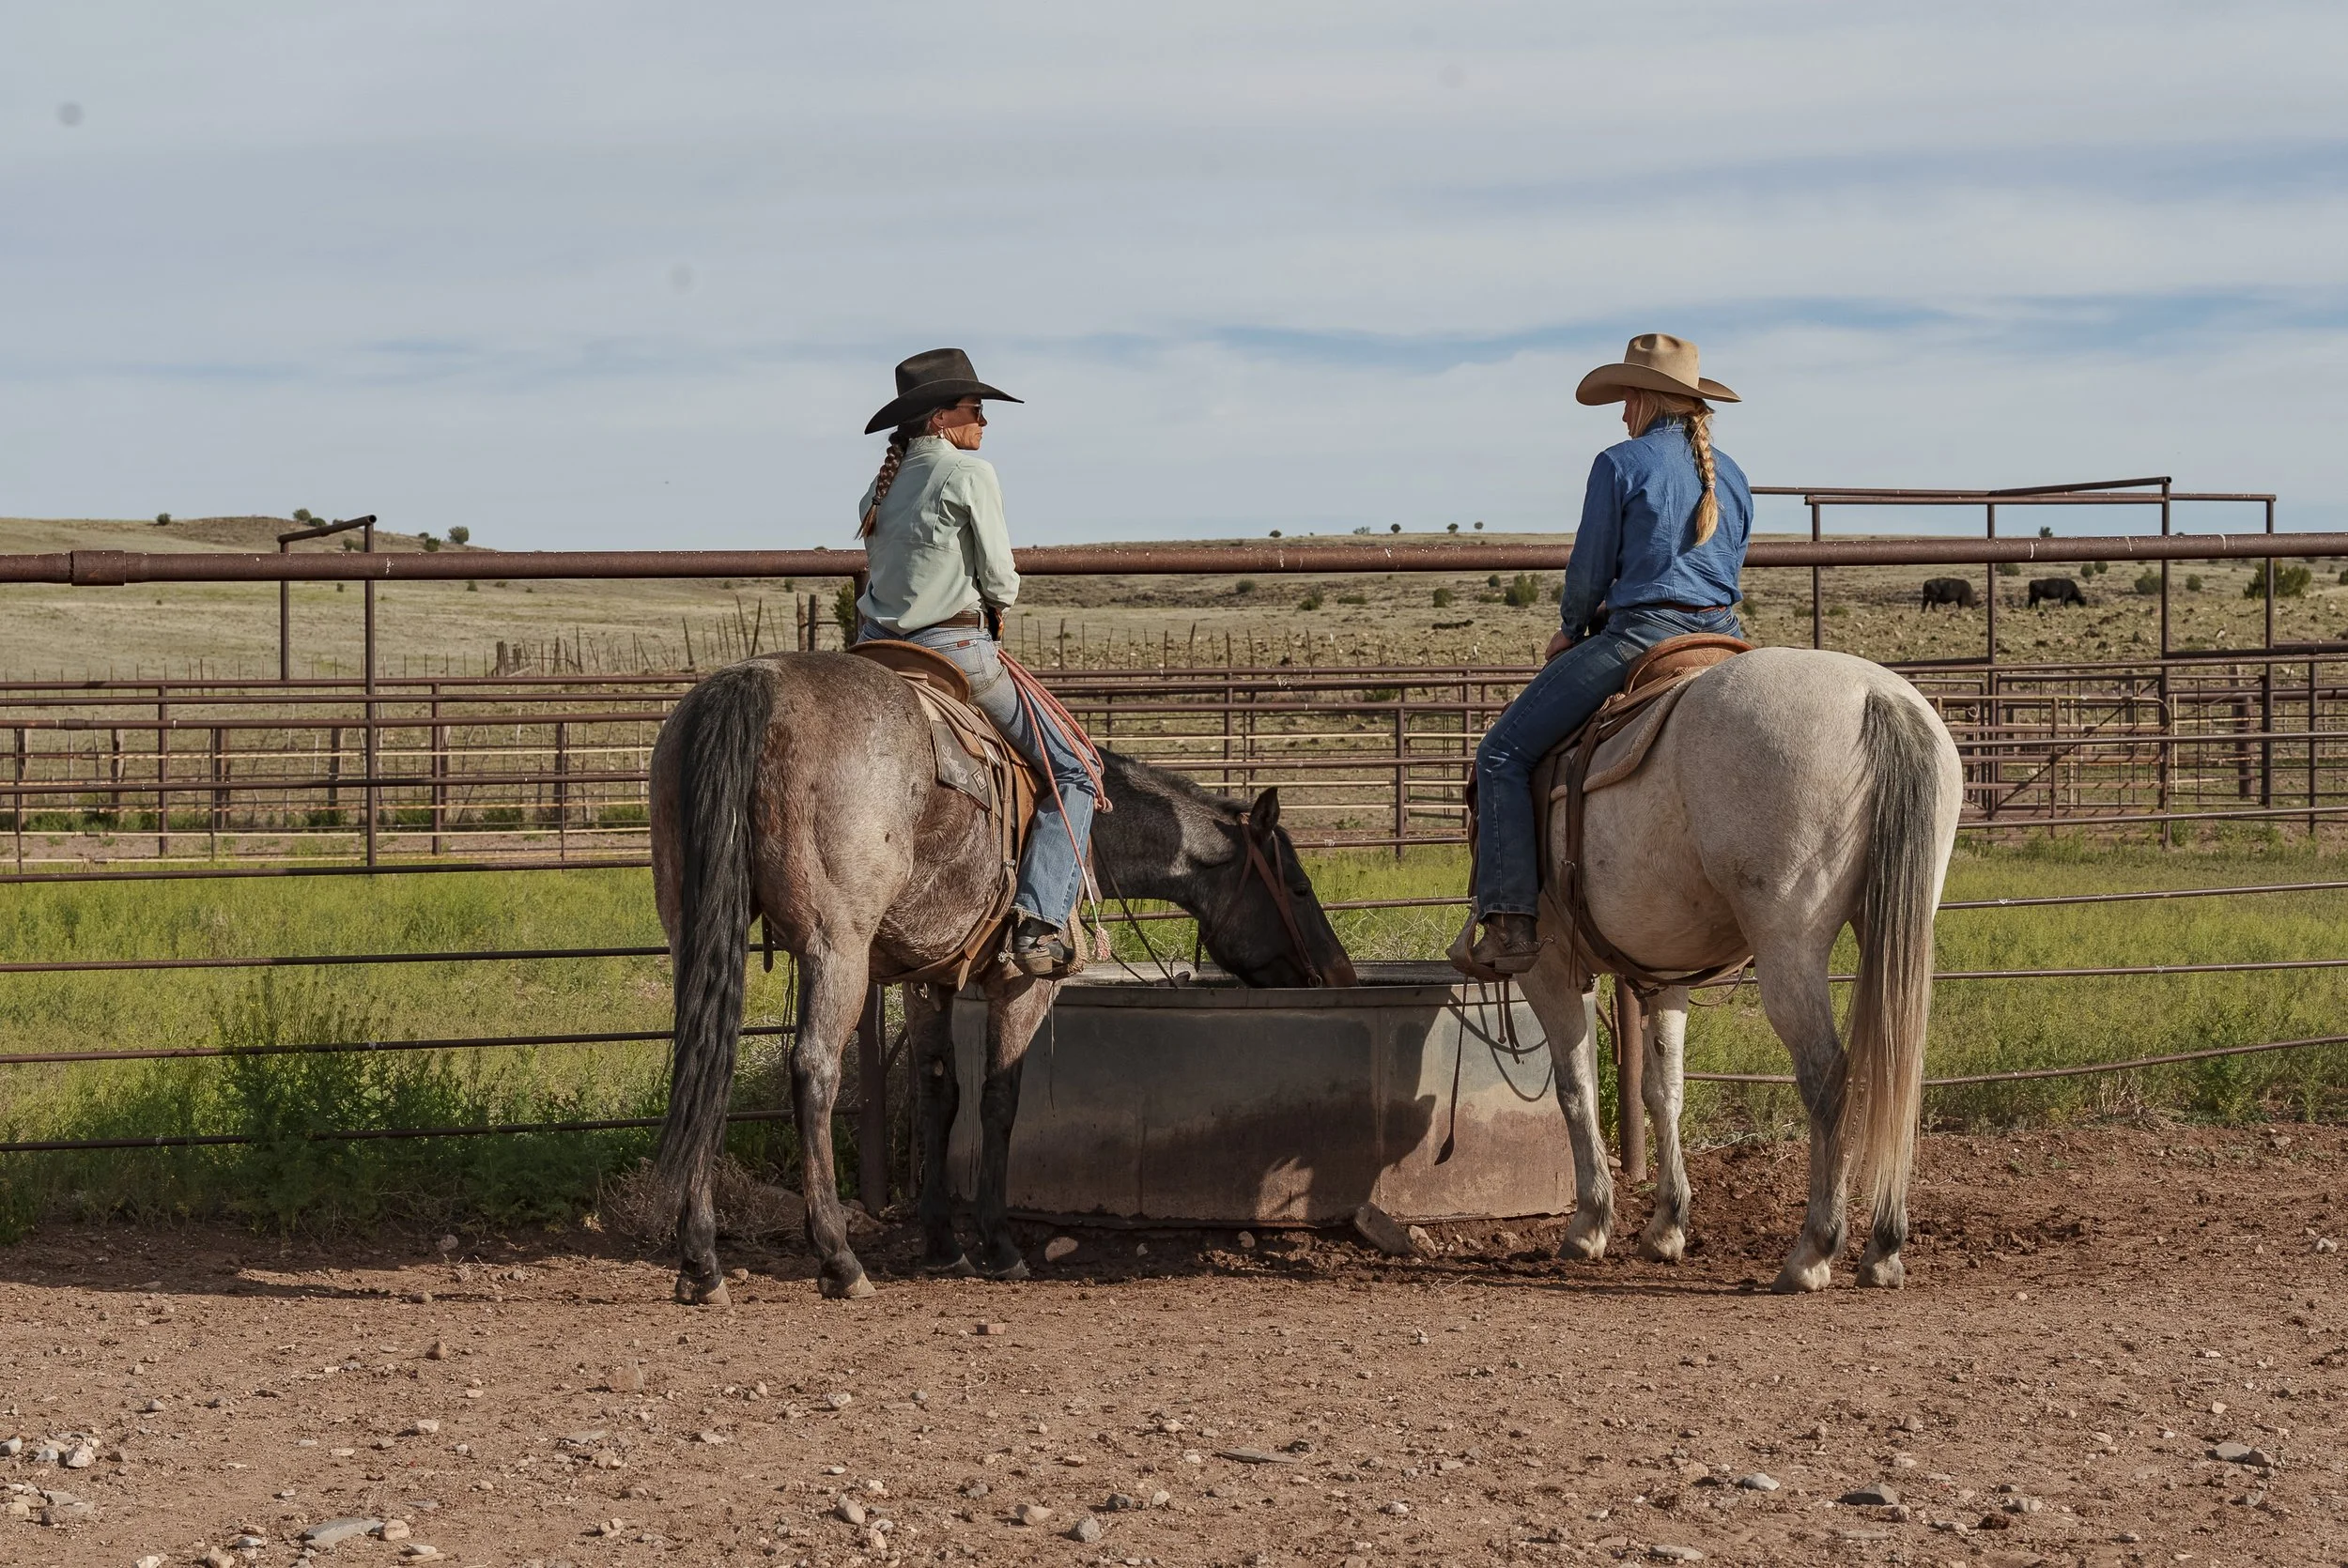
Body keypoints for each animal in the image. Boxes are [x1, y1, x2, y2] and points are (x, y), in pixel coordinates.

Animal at [647, 652, 1358, 1302]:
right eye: (1299, 888)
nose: (1339, 973)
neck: (1091, 832)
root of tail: (756, 683)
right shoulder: (1024, 984)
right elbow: (1000, 1099)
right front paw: (998, 1243)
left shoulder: (926, 978)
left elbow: (941, 1095)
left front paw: (942, 1244)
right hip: (835, 948)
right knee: (813, 1069)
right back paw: (838, 1258)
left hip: (695, 928)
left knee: (705, 1061)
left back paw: (701, 1260)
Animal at [1517, 646, 1963, 1292]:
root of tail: (1875, 697)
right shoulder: (1664, 973)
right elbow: (1664, 1088)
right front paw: (1666, 1226)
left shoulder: (1550, 967)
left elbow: (1575, 1088)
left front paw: (1590, 1223)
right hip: (1898, 924)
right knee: (1894, 1067)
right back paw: (1882, 1249)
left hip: (1789, 945)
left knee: (1828, 1075)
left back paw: (1812, 1252)